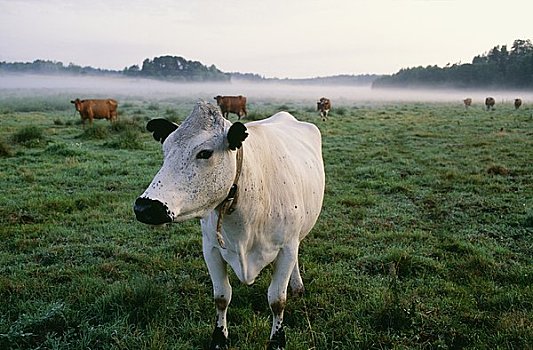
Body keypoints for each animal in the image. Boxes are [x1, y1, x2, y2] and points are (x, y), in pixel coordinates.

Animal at [133, 101, 324, 350]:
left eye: (205, 153)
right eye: (165, 151)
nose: (145, 207)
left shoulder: (286, 248)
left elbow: (277, 300)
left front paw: (277, 340)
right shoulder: (211, 248)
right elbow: (221, 297)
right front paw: (219, 338)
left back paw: (297, 285)